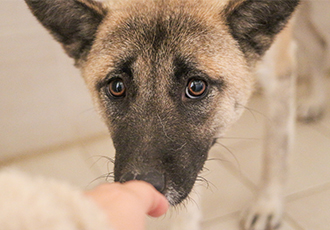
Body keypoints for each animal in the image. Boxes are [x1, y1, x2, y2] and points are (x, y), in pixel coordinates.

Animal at [23, 0, 302, 229]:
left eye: (196, 86)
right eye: (117, 87)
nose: (142, 182)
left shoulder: (281, 79)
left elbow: (276, 152)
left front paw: (267, 204)